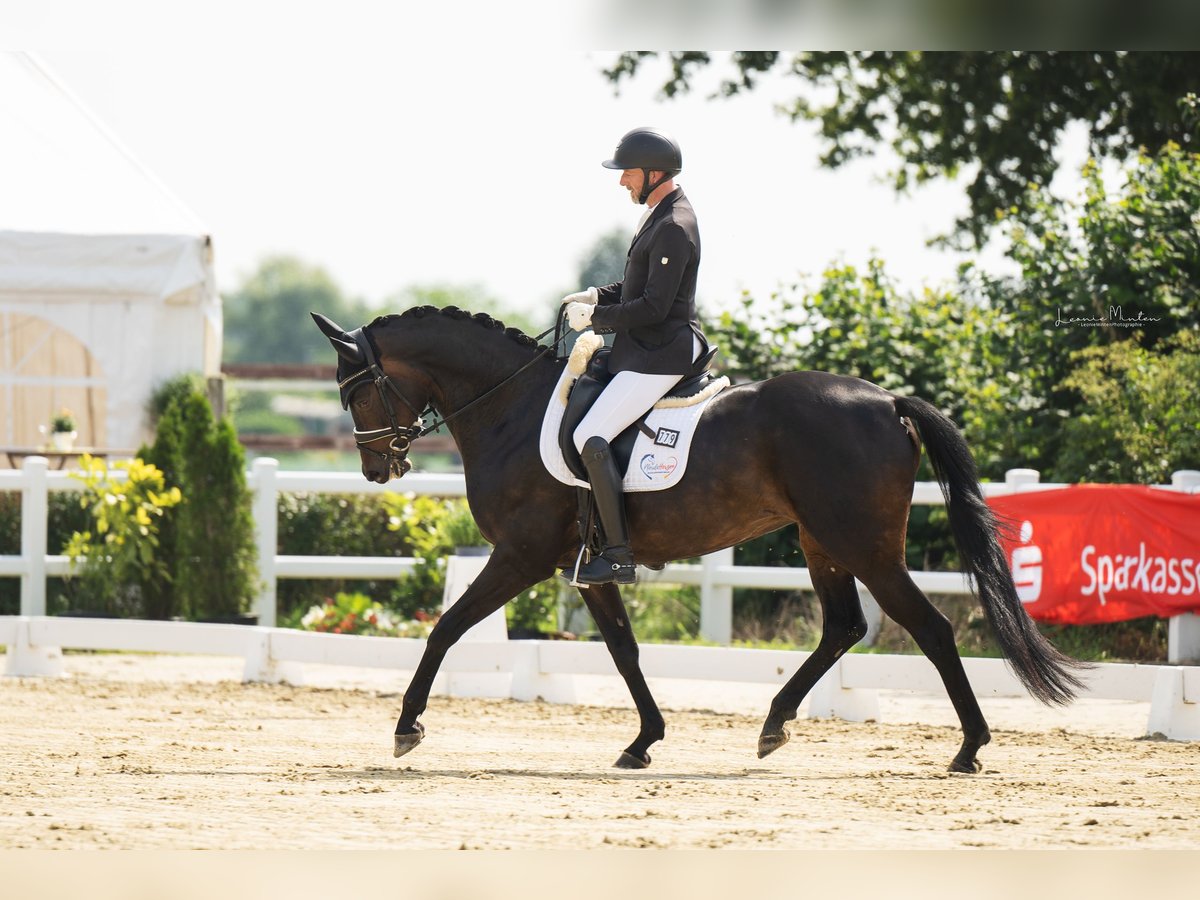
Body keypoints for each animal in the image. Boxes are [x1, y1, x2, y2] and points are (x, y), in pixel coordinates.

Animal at [312, 307, 1089, 772]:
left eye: (355, 391)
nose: (378, 467)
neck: (511, 406)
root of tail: (888, 400)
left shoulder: (521, 556)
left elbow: (445, 628)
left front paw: (406, 727)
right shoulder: (585, 566)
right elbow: (624, 651)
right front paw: (643, 742)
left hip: (864, 546)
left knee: (929, 628)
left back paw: (969, 748)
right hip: (822, 543)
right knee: (842, 627)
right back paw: (774, 725)